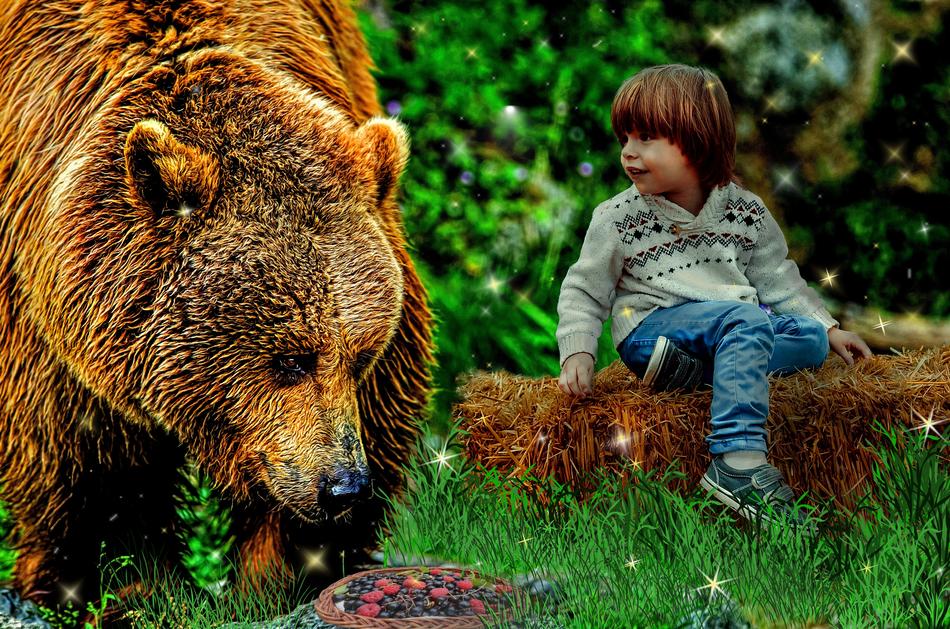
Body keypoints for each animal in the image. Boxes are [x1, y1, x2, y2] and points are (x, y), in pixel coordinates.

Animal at [0, 0, 433, 616]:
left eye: (361, 355)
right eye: (290, 359)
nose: (343, 485)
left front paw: (285, 574)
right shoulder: (47, 321)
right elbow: (82, 465)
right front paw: (115, 585)